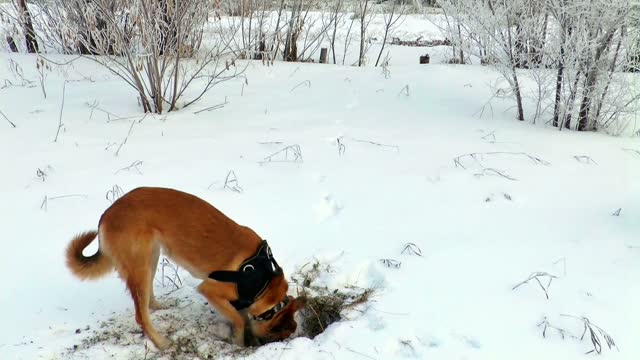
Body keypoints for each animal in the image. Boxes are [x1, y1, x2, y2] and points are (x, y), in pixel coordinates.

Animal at [65, 187, 302, 350]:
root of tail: (107, 214)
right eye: (278, 337)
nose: (260, 345)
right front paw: (238, 339)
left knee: (146, 301)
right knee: (141, 316)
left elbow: (239, 315)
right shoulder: (209, 289)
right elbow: (237, 318)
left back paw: (159, 306)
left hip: (151, 257)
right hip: (140, 264)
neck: (263, 281)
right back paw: (161, 343)